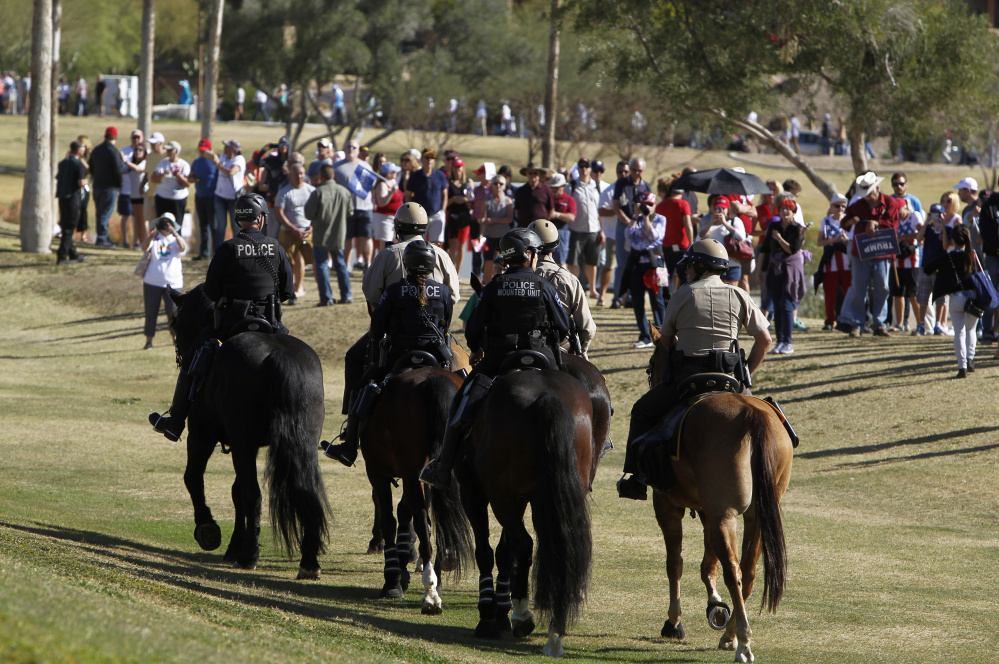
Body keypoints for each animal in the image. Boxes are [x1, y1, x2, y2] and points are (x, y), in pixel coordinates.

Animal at [169, 282, 332, 580]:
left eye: (175, 321)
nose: (180, 354)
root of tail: (279, 355)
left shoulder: (203, 436)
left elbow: (194, 478)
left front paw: (209, 530)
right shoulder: (246, 445)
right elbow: (236, 491)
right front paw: (234, 545)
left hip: (239, 443)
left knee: (252, 494)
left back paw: (249, 556)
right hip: (301, 446)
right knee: (304, 492)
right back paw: (308, 562)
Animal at [358, 366, 470, 616]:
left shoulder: (377, 471)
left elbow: (390, 519)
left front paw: (392, 580)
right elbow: (405, 515)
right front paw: (402, 571)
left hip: (409, 472)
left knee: (419, 518)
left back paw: (430, 593)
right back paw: (439, 574)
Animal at [436, 370, 592, 656]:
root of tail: (546, 395)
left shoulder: (474, 494)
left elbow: (486, 552)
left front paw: (488, 617)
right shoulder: (520, 498)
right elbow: (504, 553)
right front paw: (499, 613)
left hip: (500, 497)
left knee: (525, 543)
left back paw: (522, 616)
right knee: (559, 549)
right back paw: (555, 631)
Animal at [648, 328, 796, 664]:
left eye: (651, 367)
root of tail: (752, 413)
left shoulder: (667, 505)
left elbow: (675, 562)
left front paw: (674, 622)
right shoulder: (707, 511)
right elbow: (707, 563)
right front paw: (715, 606)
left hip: (724, 515)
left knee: (734, 571)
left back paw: (742, 641)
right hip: (752, 513)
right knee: (747, 569)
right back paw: (731, 634)